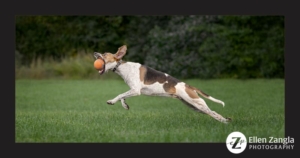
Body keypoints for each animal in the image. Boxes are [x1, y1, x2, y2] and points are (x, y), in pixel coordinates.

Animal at [94, 45, 232, 123]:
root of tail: (189, 86)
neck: (122, 67)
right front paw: (125, 106)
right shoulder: (133, 90)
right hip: (194, 106)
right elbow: (123, 97)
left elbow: (119, 95)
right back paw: (225, 120)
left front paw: (111, 101)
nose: (95, 53)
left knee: (212, 112)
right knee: (212, 112)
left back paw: (224, 121)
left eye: (105, 54)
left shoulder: (135, 90)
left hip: (197, 103)